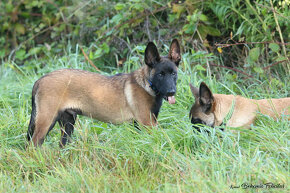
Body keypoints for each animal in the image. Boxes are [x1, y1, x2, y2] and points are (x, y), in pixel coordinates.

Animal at [27, 40, 181, 147]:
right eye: (160, 74)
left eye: (173, 73)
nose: (171, 91)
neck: (146, 84)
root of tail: (40, 80)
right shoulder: (147, 124)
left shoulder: (140, 124)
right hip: (46, 121)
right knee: (33, 145)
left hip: (68, 123)